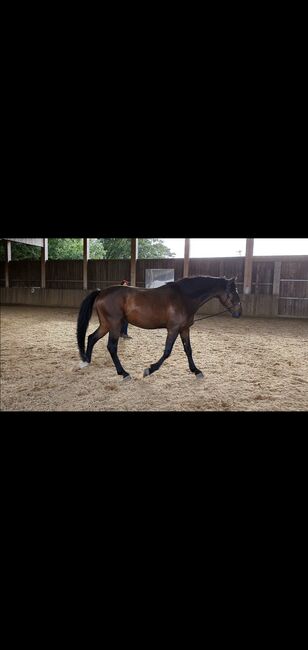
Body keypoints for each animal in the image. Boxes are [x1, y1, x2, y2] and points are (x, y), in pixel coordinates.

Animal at [76, 274, 242, 380]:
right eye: (233, 292)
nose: (239, 313)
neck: (184, 297)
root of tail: (101, 292)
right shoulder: (173, 329)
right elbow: (167, 352)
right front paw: (149, 370)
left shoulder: (184, 329)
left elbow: (188, 350)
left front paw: (196, 371)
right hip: (115, 325)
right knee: (111, 347)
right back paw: (124, 373)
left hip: (106, 325)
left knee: (91, 338)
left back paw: (86, 361)